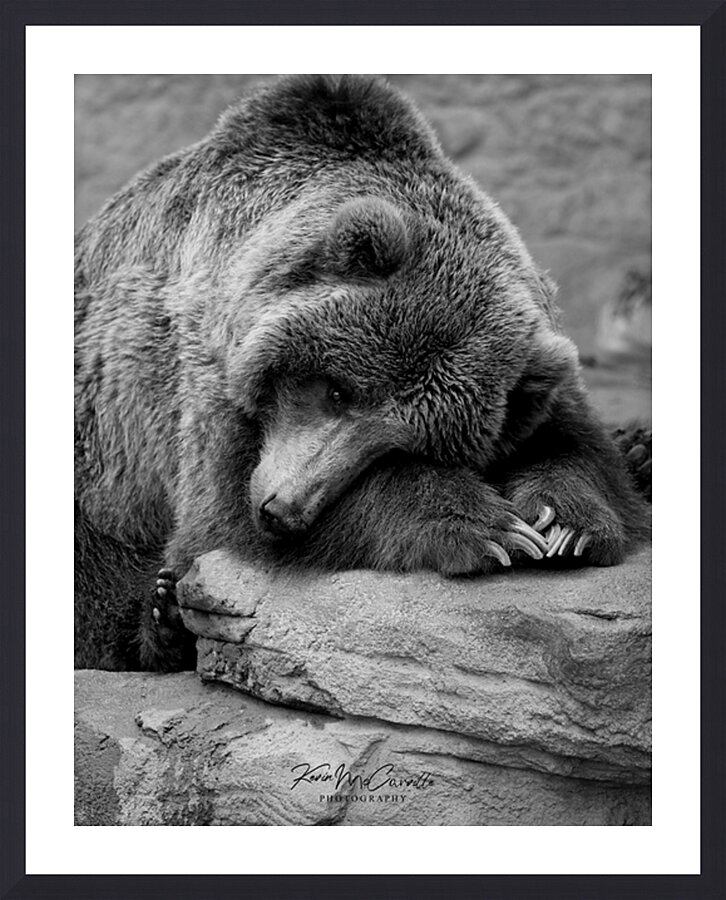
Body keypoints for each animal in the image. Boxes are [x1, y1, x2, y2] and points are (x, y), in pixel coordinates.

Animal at [74, 74, 650, 673]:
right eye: (335, 389)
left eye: (400, 445)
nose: (283, 510)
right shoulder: (201, 378)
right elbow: (219, 516)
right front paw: (489, 527)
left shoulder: (531, 373)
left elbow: (575, 449)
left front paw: (565, 522)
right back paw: (161, 621)